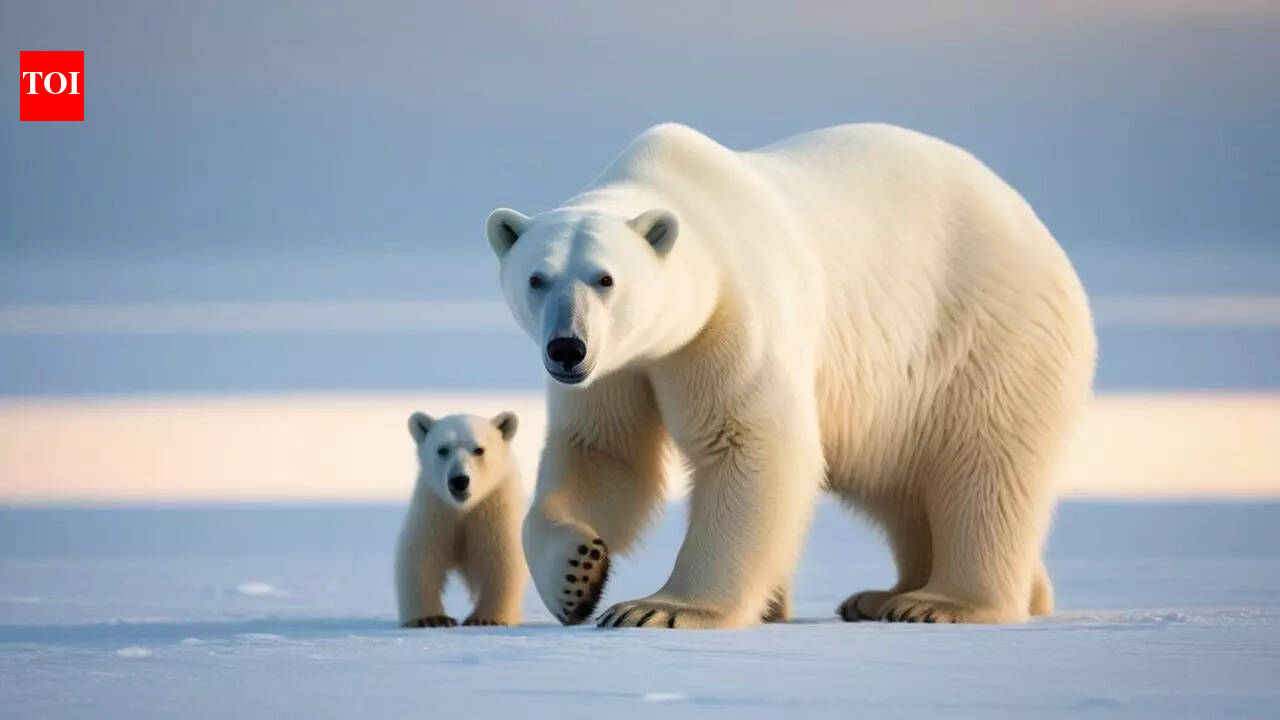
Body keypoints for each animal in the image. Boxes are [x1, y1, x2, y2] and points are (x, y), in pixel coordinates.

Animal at [395, 411, 526, 627]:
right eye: (442, 449)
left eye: (479, 449)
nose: (459, 481)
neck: (464, 509)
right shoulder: (435, 510)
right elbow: (421, 557)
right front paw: (431, 619)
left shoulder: (494, 509)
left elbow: (502, 557)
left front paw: (485, 619)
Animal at [485, 122, 1095, 628]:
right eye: (537, 278)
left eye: (605, 278)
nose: (567, 348)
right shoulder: (621, 367)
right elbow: (603, 452)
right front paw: (577, 576)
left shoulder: (733, 317)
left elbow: (752, 443)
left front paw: (659, 608)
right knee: (904, 484)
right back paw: (887, 596)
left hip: (987, 334)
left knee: (983, 465)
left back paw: (939, 602)